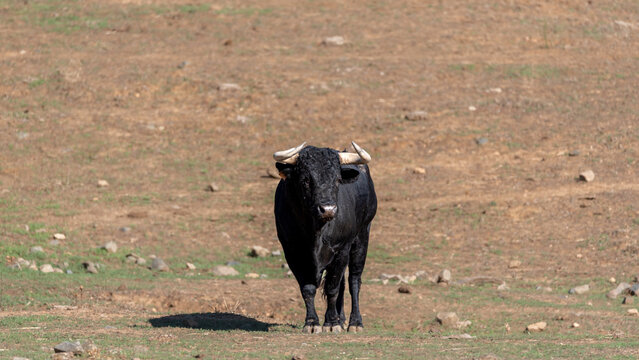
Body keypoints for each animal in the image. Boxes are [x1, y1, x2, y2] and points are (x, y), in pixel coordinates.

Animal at [274, 145, 376, 334]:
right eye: (305, 180)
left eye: (337, 179)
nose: (328, 209)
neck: (315, 232)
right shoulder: (292, 252)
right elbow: (307, 289)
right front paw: (312, 323)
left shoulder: (342, 248)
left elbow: (332, 287)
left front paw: (331, 323)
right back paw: (341, 319)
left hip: (362, 237)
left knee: (353, 281)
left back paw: (354, 322)